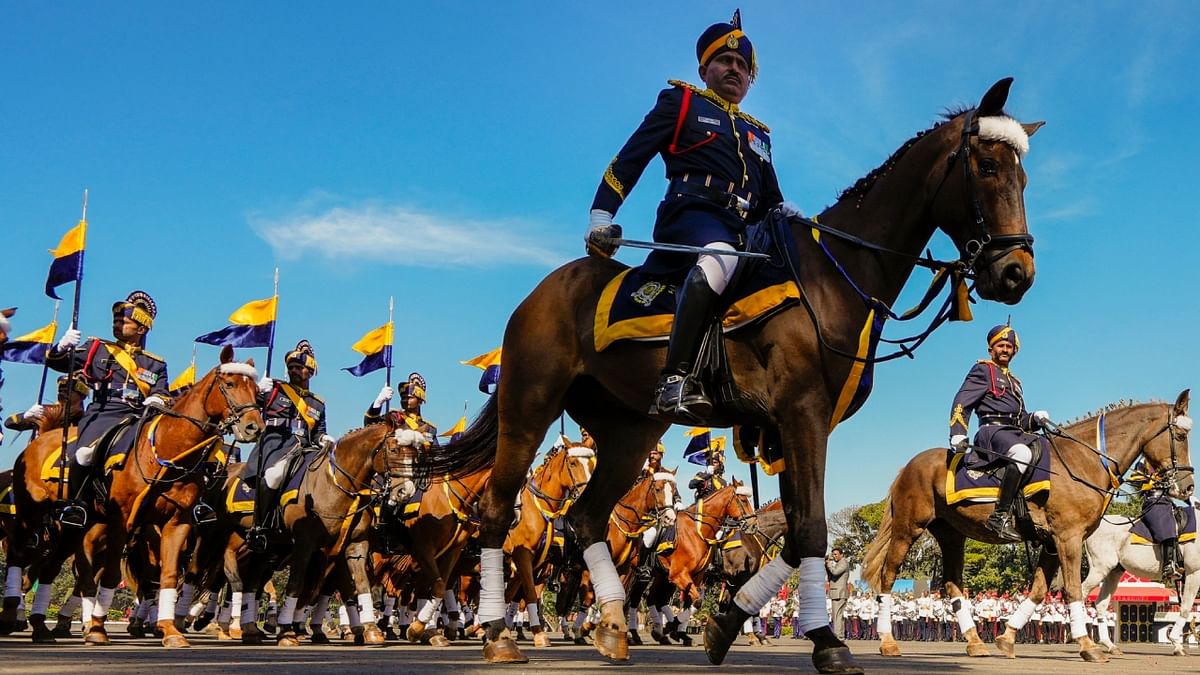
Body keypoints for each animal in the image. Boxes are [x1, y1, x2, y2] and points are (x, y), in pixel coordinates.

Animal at [864, 389, 1190, 658]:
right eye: (1181, 436)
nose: (1187, 487)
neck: (1082, 461)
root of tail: (909, 465)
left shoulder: (1050, 543)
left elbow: (1037, 591)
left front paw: (1007, 638)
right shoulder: (1068, 538)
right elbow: (1073, 590)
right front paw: (1086, 645)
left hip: (952, 535)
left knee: (953, 583)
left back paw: (975, 641)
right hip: (908, 529)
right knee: (888, 577)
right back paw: (888, 642)